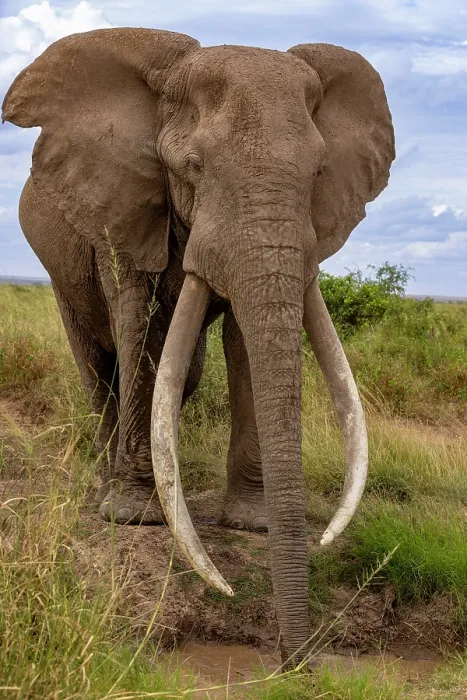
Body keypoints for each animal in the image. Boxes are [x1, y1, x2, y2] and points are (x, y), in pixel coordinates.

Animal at [2, 28, 395, 666]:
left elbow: (238, 338)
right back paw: (107, 484)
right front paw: (134, 518)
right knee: (98, 365)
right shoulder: (123, 207)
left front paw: (252, 524)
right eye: (192, 167)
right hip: (60, 268)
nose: (296, 662)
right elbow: (137, 326)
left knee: (181, 374)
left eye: (318, 172)